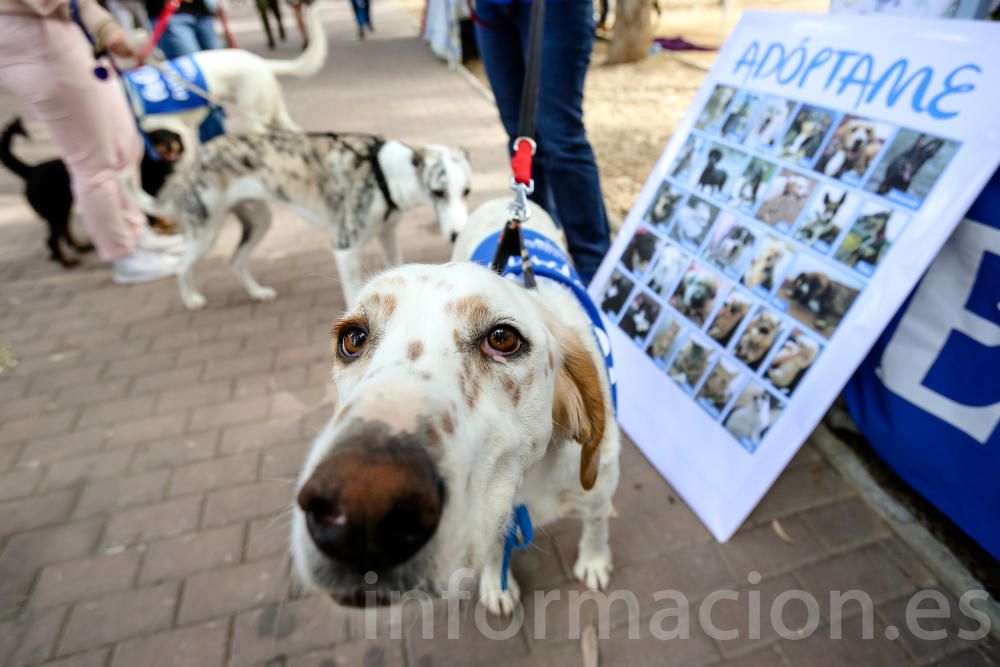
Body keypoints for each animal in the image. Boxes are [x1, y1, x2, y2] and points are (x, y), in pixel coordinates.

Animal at [123, 130, 470, 310]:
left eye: (466, 191)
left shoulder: (388, 234)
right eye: (438, 192)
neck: (386, 172)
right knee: (182, 265)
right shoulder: (345, 246)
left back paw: (257, 293)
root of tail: (195, 158)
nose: (457, 234)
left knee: (236, 260)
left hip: (259, 220)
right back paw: (192, 299)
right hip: (206, 229)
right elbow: (353, 292)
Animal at [290, 197, 616, 616]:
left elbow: (597, 525)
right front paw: (497, 583)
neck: (527, 484)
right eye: (353, 338)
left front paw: (594, 561)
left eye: (503, 338)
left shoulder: (599, 490)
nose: (362, 509)